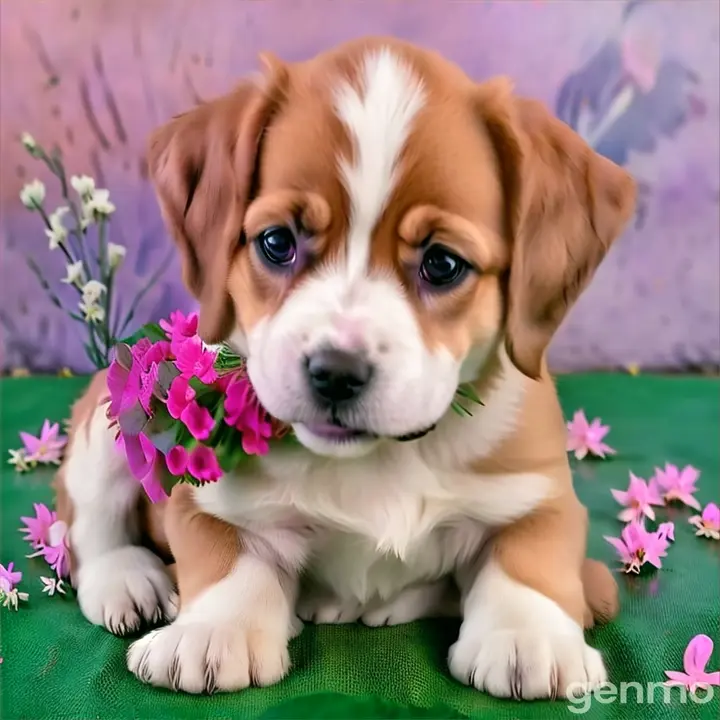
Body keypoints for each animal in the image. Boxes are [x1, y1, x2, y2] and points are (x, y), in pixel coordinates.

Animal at [54, 36, 636, 700]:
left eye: (442, 263)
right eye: (277, 243)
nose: (335, 372)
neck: (381, 461)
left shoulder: (537, 488)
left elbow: (531, 552)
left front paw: (528, 636)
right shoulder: (209, 501)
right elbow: (229, 561)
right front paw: (212, 632)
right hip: (113, 419)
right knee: (89, 522)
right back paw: (129, 579)